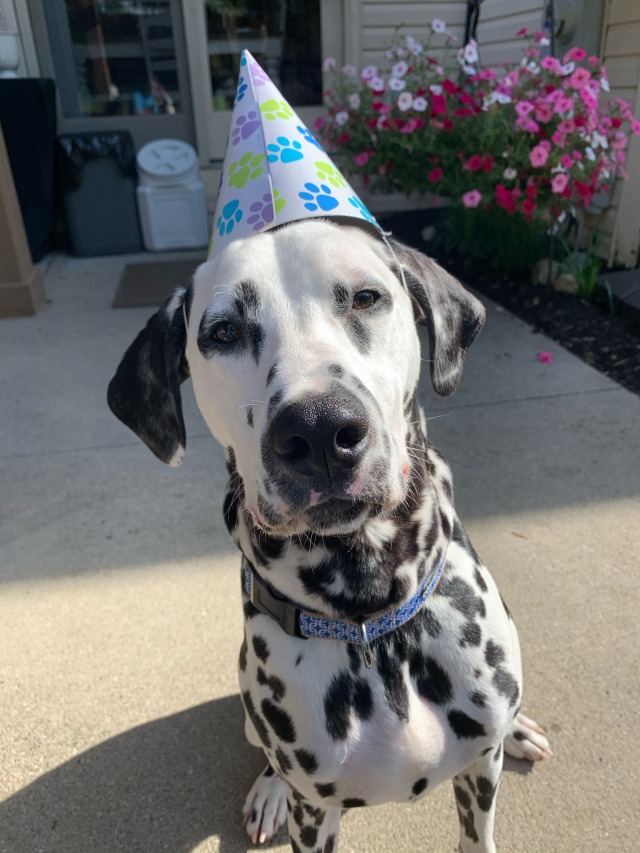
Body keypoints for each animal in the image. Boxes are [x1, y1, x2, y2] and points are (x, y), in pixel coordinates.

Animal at [109, 221, 552, 852]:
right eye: (223, 332)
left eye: (365, 297)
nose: (319, 430)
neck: (373, 622)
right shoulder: (315, 814)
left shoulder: (478, 774)